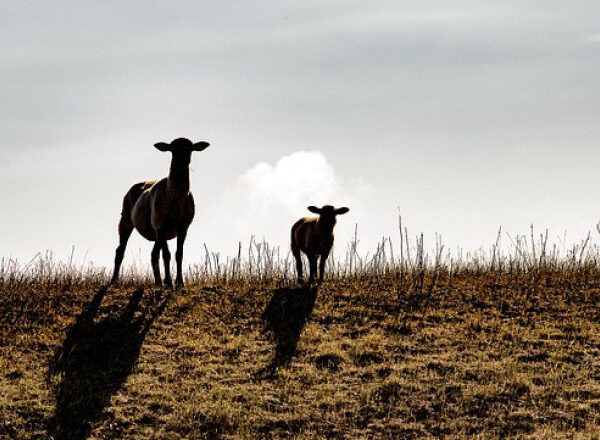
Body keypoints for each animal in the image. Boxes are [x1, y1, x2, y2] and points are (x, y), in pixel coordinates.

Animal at [109, 138, 210, 288]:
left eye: (191, 148)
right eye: (172, 149)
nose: (182, 161)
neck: (175, 200)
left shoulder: (183, 227)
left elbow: (179, 254)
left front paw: (179, 282)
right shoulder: (161, 226)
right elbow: (166, 255)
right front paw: (169, 282)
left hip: (155, 231)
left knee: (153, 255)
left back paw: (158, 282)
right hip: (126, 218)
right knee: (120, 250)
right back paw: (114, 280)